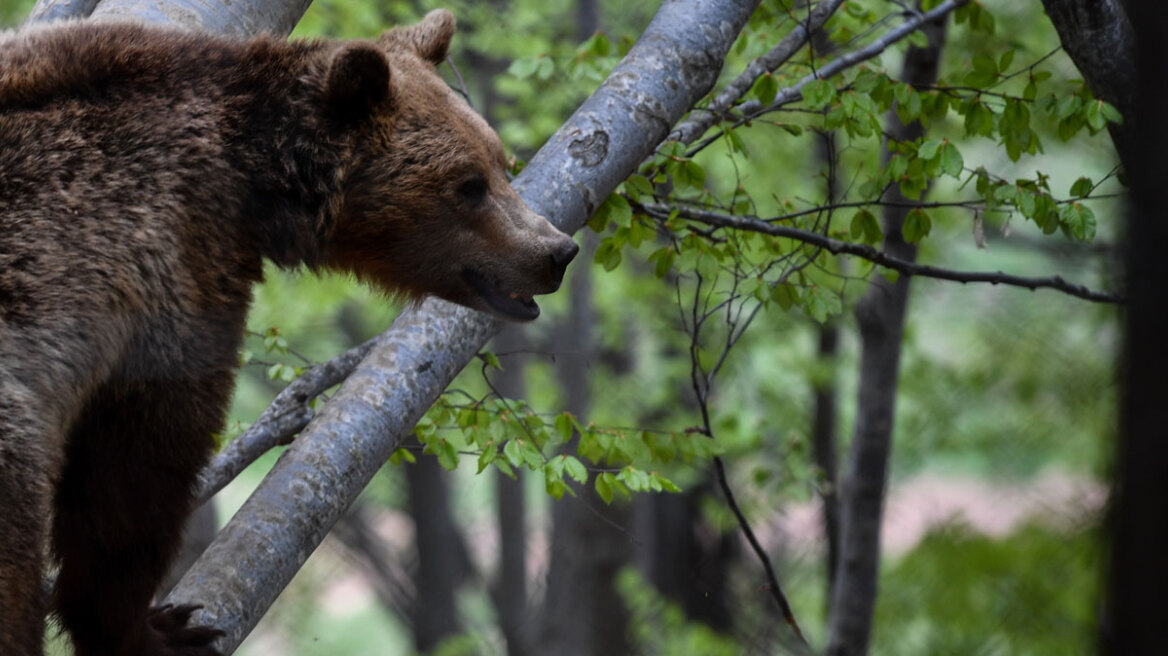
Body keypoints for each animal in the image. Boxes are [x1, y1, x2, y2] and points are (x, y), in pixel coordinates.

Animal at [0, 10, 579, 653]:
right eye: (469, 184)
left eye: (499, 162)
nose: (555, 251)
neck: (251, 182)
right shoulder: (165, 264)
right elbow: (139, 464)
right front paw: (155, 628)